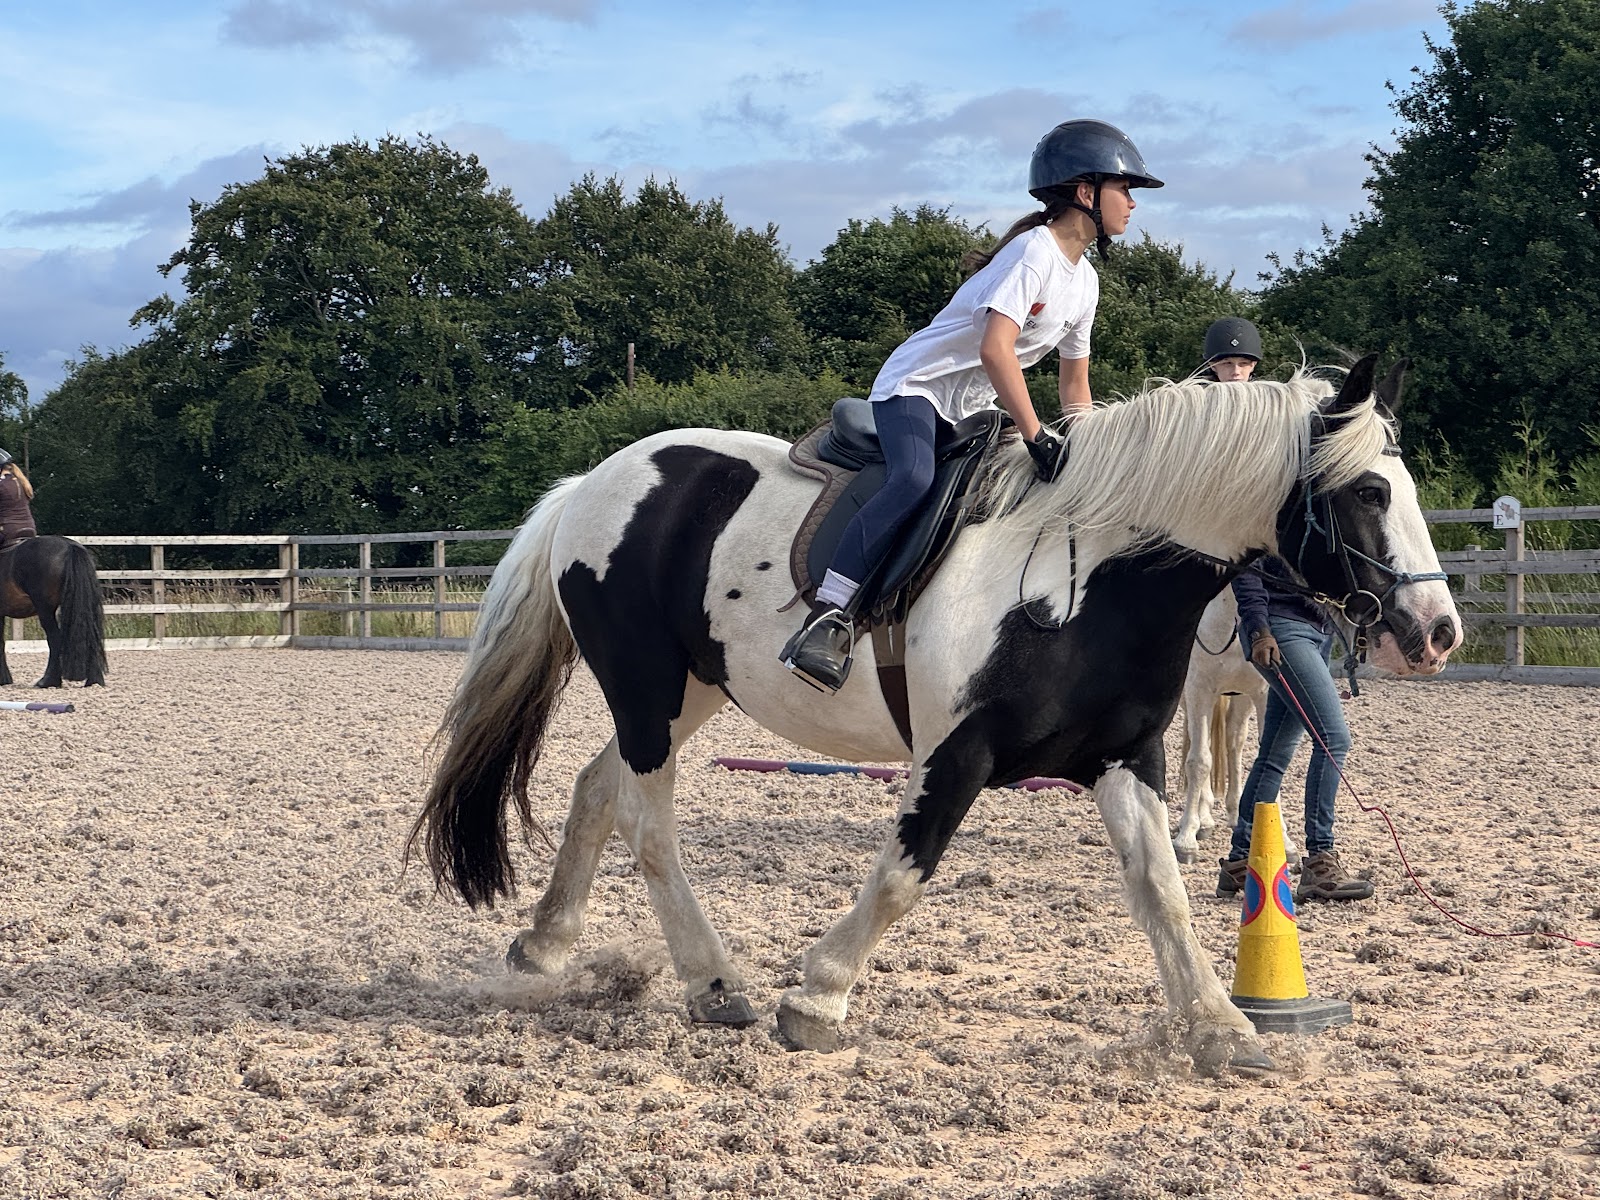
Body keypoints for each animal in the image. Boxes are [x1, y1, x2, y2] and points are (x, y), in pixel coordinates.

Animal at [412, 355, 1460, 1076]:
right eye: (1371, 492)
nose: (1437, 630)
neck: (1087, 581)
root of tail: (590, 484)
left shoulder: (1126, 760)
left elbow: (1160, 889)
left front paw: (1220, 1026)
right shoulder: (955, 758)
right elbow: (901, 880)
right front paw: (818, 998)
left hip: (687, 694)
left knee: (598, 787)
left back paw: (546, 945)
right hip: (646, 688)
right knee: (646, 821)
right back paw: (714, 982)